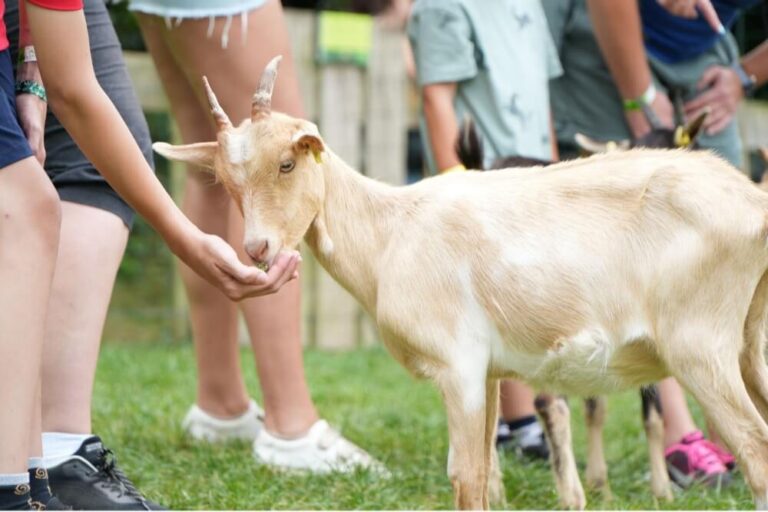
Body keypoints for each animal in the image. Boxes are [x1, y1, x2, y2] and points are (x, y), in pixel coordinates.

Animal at [156, 58, 768, 510]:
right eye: (226, 181)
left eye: (288, 162)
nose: (257, 249)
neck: (390, 231)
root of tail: (752, 201)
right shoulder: (490, 371)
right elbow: (486, 475)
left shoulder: (459, 366)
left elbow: (466, 477)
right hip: (749, 344)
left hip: (699, 343)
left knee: (756, 451)